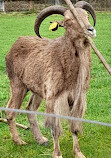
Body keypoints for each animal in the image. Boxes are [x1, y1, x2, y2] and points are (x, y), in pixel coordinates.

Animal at [5, 1, 96, 158]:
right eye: (68, 20)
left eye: (86, 15)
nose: (90, 30)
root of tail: (16, 43)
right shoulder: (53, 98)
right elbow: (55, 129)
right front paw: (57, 154)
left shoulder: (75, 99)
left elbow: (74, 127)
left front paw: (78, 153)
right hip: (18, 85)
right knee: (10, 111)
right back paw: (19, 141)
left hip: (36, 91)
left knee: (30, 109)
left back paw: (41, 139)